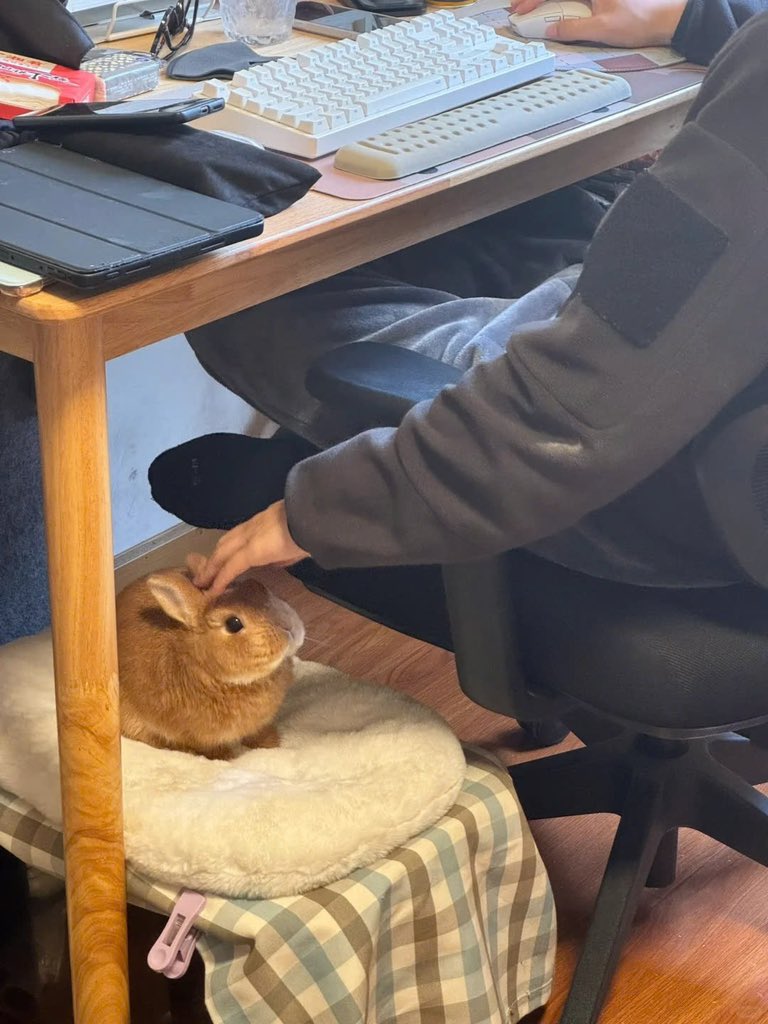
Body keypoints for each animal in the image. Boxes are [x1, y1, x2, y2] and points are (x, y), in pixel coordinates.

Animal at [116, 554, 304, 760]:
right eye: (233, 623)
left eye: (260, 586)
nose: (289, 627)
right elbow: (209, 748)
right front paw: (226, 758)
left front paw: (271, 744)